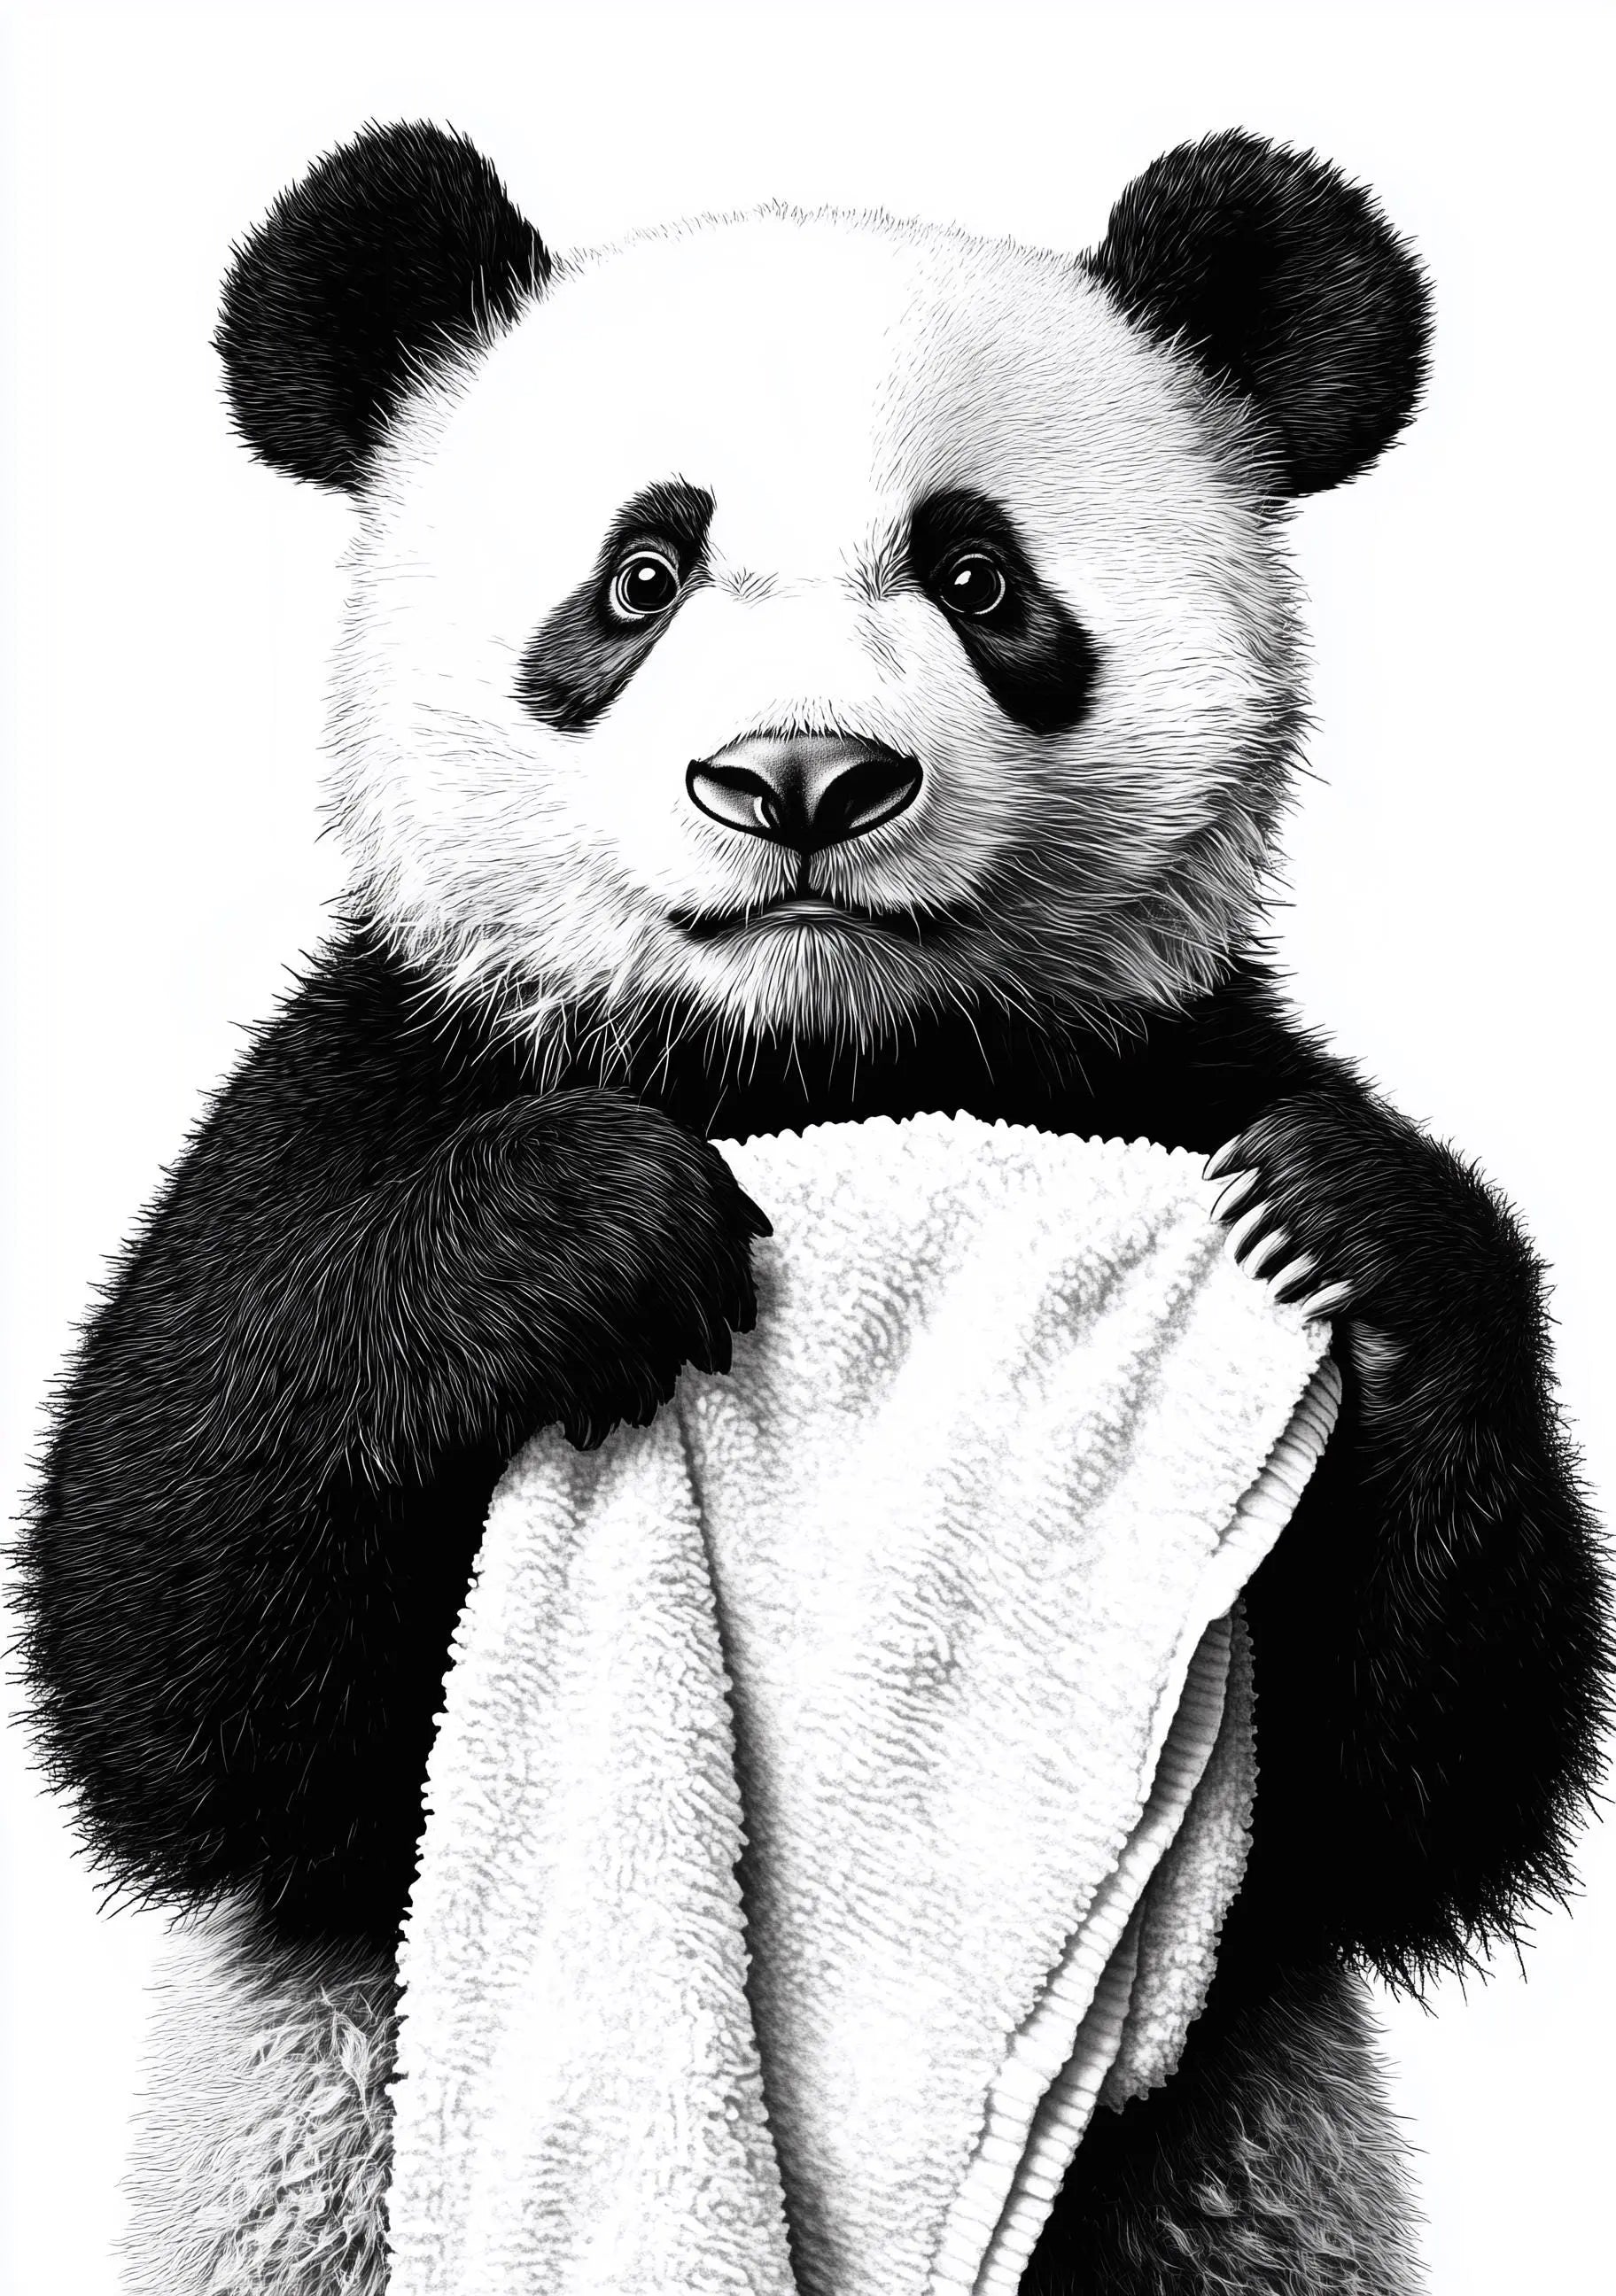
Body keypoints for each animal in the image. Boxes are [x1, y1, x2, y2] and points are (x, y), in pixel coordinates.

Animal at [18, 120, 1609, 2295]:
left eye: (976, 574)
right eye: (640, 575)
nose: (797, 778)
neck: (812, 1057)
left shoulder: (1172, 1062)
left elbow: (1401, 1797)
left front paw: (1356, 1229)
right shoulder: (363, 1077)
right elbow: (180, 1664)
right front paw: (579, 1229)